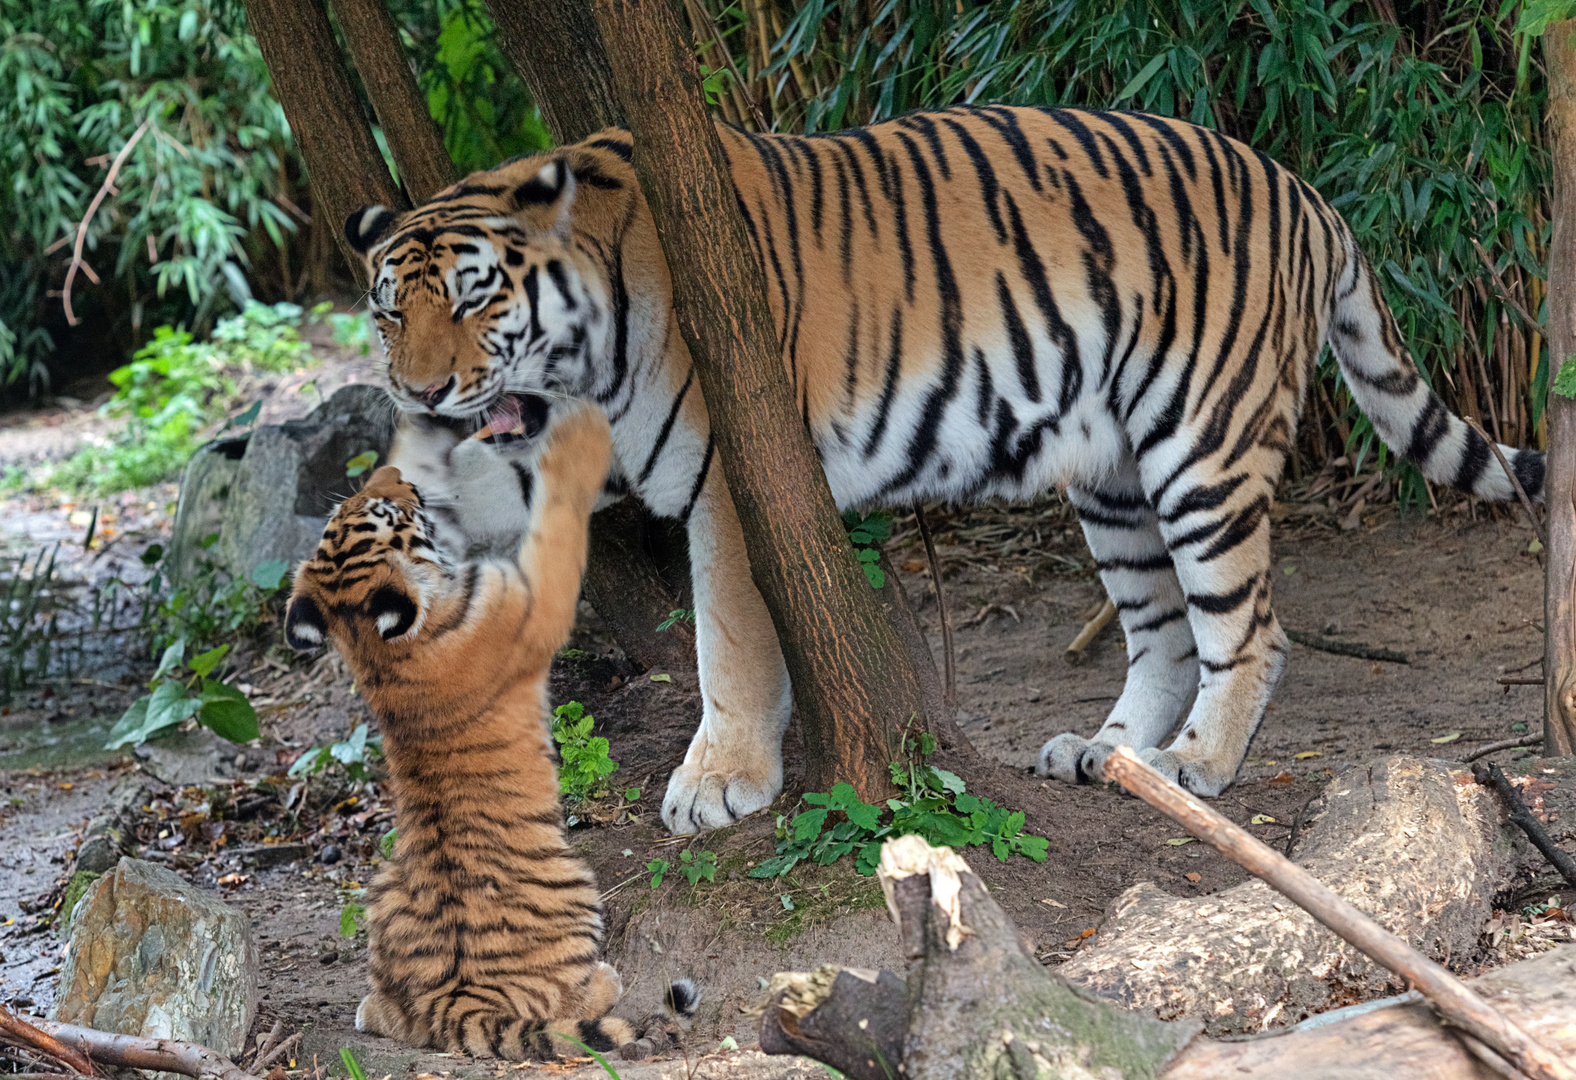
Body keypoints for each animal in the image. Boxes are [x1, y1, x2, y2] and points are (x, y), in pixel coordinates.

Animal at [341, 107, 1538, 832]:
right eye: (387, 310)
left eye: (476, 297)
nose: (419, 394)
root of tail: (1306, 190)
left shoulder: (729, 479)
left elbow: (726, 640)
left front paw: (718, 782)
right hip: (1108, 475)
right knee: (1159, 630)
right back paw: (1105, 753)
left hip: (1201, 442)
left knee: (1249, 627)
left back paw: (1194, 766)